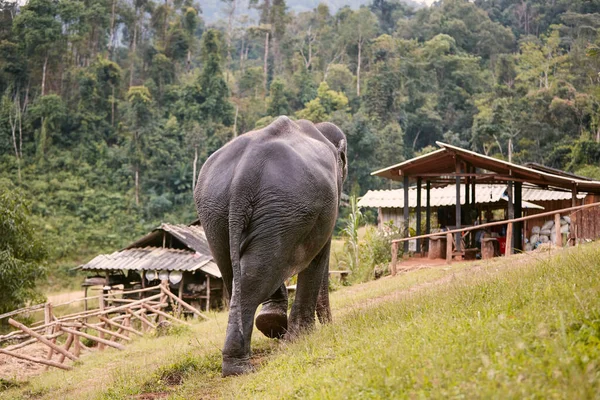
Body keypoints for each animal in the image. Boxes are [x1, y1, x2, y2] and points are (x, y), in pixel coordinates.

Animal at [195, 115, 346, 376]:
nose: (330, 325)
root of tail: (243, 176)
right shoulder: (327, 209)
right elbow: (318, 256)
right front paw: (302, 337)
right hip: (283, 210)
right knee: (257, 275)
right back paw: (242, 366)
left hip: (216, 215)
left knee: (240, 275)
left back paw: (240, 360)